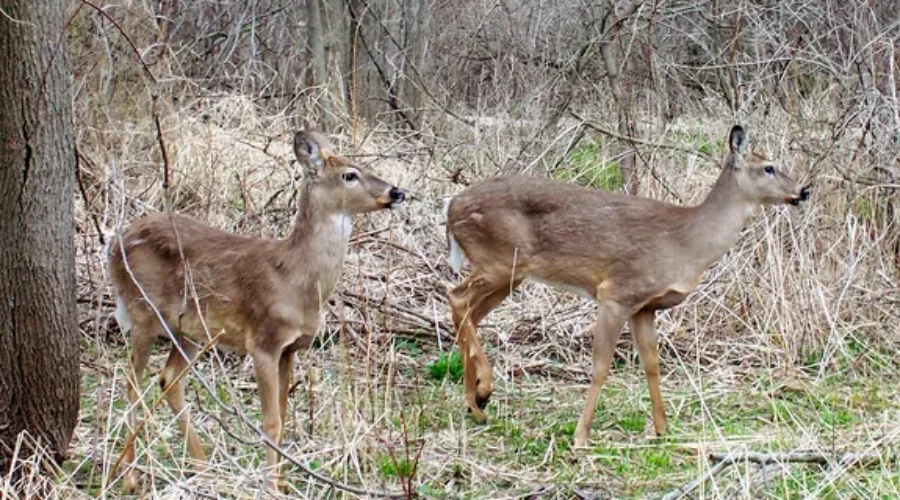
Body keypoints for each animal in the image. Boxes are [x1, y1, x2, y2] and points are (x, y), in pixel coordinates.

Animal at [108, 130, 406, 492]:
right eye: (350, 175)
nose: (396, 192)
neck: (295, 280)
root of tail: (115, 243)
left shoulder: (290, 348)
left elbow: (284, 412)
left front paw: (281, 483)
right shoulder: (263, 342)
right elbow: (271, 420)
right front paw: (271, 486)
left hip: (190, 330)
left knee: (169, 380)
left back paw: (202, 468)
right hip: (142, 313)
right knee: (131, 383)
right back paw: (130, 477)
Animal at [445, 125, 809, 447]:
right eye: (769, 167)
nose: (803, 191)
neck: (685, 243)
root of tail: (451, 207)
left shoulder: (644, 306)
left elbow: (652, 365)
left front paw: (662, 430)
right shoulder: (616, 293)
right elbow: (600, 367)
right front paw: (581, 437)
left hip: (511, 274)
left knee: (470, 313)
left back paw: (475, 403)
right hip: (500, 260)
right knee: (457, 298)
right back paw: (484, 389)